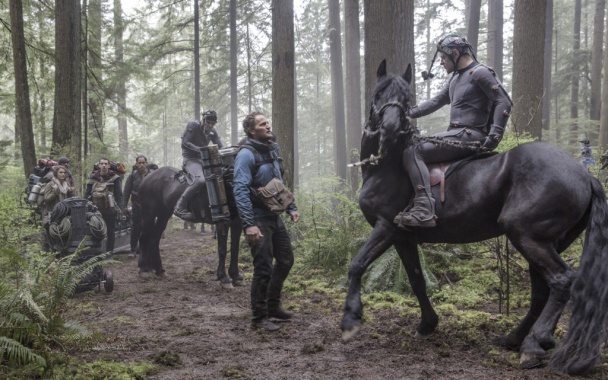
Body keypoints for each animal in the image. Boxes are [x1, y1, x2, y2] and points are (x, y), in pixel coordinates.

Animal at [342, 60, 608, 376]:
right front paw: (427, 324)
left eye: (406, 98)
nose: (392, 128)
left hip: (528, 237)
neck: (386, 165)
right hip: (549, 242)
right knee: (542, 290)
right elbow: (417, 280)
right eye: (379, 93)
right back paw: (516, 339)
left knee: (562, 281)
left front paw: (350, 319)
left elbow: (357, 265)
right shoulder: (403, 236)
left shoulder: (385, 227)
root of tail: (583, 174)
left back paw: (534, 344)